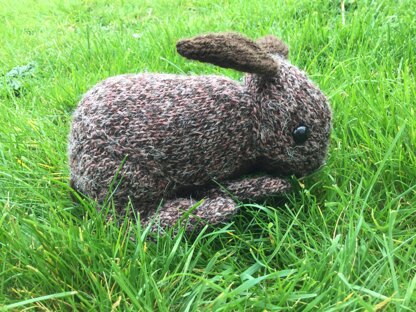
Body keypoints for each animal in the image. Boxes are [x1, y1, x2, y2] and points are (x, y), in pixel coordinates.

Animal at [70, 32, 334, 232]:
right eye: (300, 133)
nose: (315, 165)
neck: (253, 115)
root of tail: (74, 158)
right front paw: (266, 186)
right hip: (129, 175)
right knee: (131, 221)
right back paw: (210, 211)